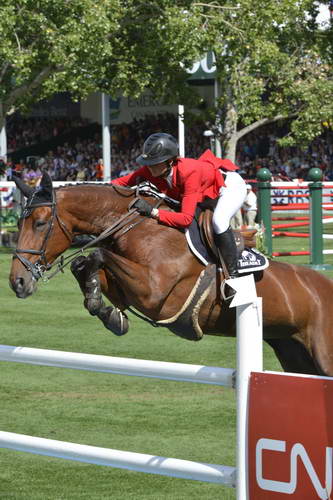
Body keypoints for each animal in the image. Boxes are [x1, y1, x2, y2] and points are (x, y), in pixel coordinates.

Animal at [7, 174, 333, 376]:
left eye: (40, 223)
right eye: (20, 223)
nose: (17, 282)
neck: (137, 225)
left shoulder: (156, 292)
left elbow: (98, 255)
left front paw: (107, 311)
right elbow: (87, 266)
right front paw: (106, 311)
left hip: (322, 355)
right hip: (294, 353)